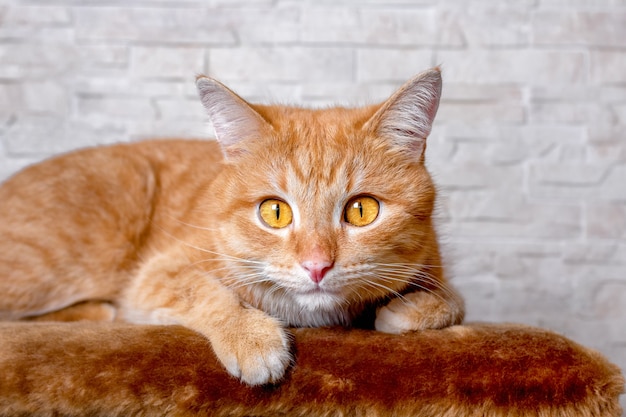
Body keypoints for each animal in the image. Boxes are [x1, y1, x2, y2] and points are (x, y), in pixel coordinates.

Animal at [1, 67, 464, 384]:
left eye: (362, 210)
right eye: (275, 212)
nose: (316, 266)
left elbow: (453, 301)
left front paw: (405, 310)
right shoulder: (157, 274)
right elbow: (208, 293)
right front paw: (250, 336)